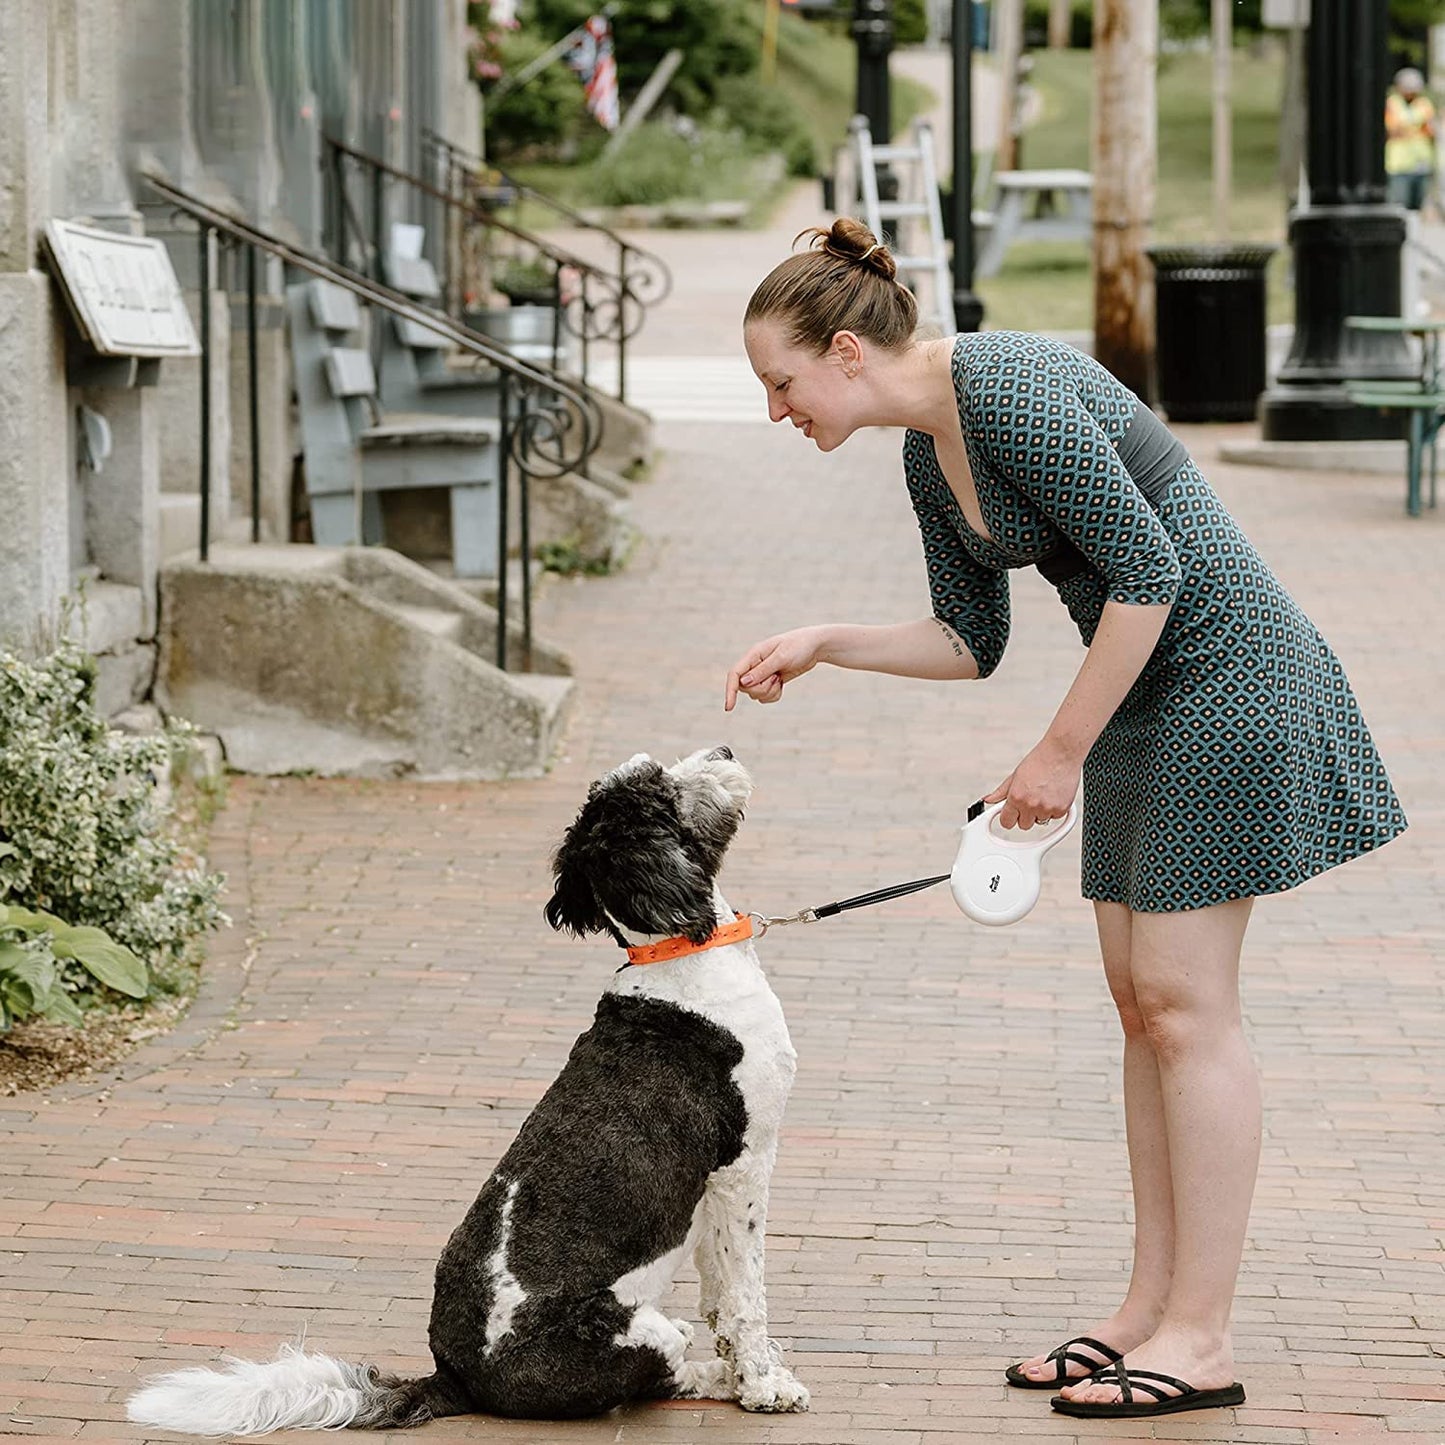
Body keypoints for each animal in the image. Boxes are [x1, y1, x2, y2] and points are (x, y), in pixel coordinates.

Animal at [128, 751, 809, 1427]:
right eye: (660, 781)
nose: (723, 751)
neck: (674, 957)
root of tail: (454, 1378)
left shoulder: (716, 1189)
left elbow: (720, 1284)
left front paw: (748, 1362)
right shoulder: (742, 1165)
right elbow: (745, 1292)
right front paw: (762, 1383)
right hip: (626, 1333)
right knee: (657, 1378)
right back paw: (716, 1374)